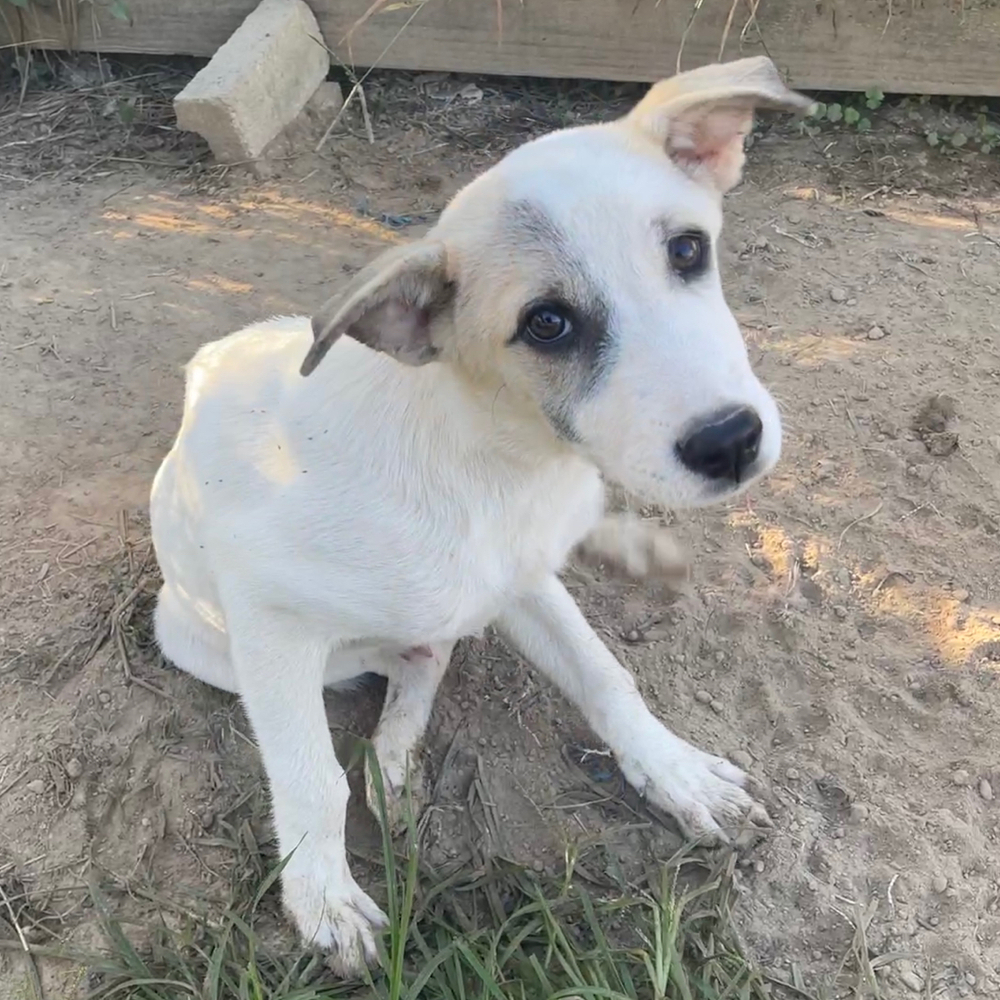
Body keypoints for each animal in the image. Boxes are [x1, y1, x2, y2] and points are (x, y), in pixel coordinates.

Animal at [152, 56, 812, 976]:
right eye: (547, 323)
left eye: (689, 249)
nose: (730, 441)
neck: (496, 461)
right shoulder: (268, 620)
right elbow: (309, 773)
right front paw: (321, 898)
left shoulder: (522, 574)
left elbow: (607, 675)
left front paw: (676, 774)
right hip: (200, 639)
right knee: (406, 662)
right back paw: (392, 756)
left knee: (433, 652)